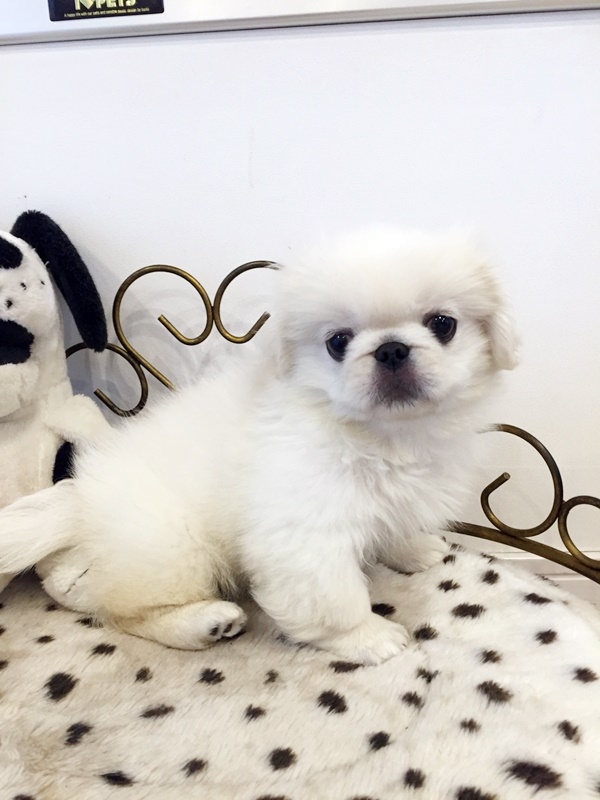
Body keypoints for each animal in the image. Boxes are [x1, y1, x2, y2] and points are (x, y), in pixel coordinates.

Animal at [0, 228, 518, 665]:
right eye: (337, 342)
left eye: (443, 324)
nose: (391, 349)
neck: (383, 435)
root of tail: (79, 495)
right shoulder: (306, 536)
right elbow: (335, 598)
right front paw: (368, 638)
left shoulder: (396, 497)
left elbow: (394, 527)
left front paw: (412, 550)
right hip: (174, 551)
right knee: (126, 614)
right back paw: (205, 623)